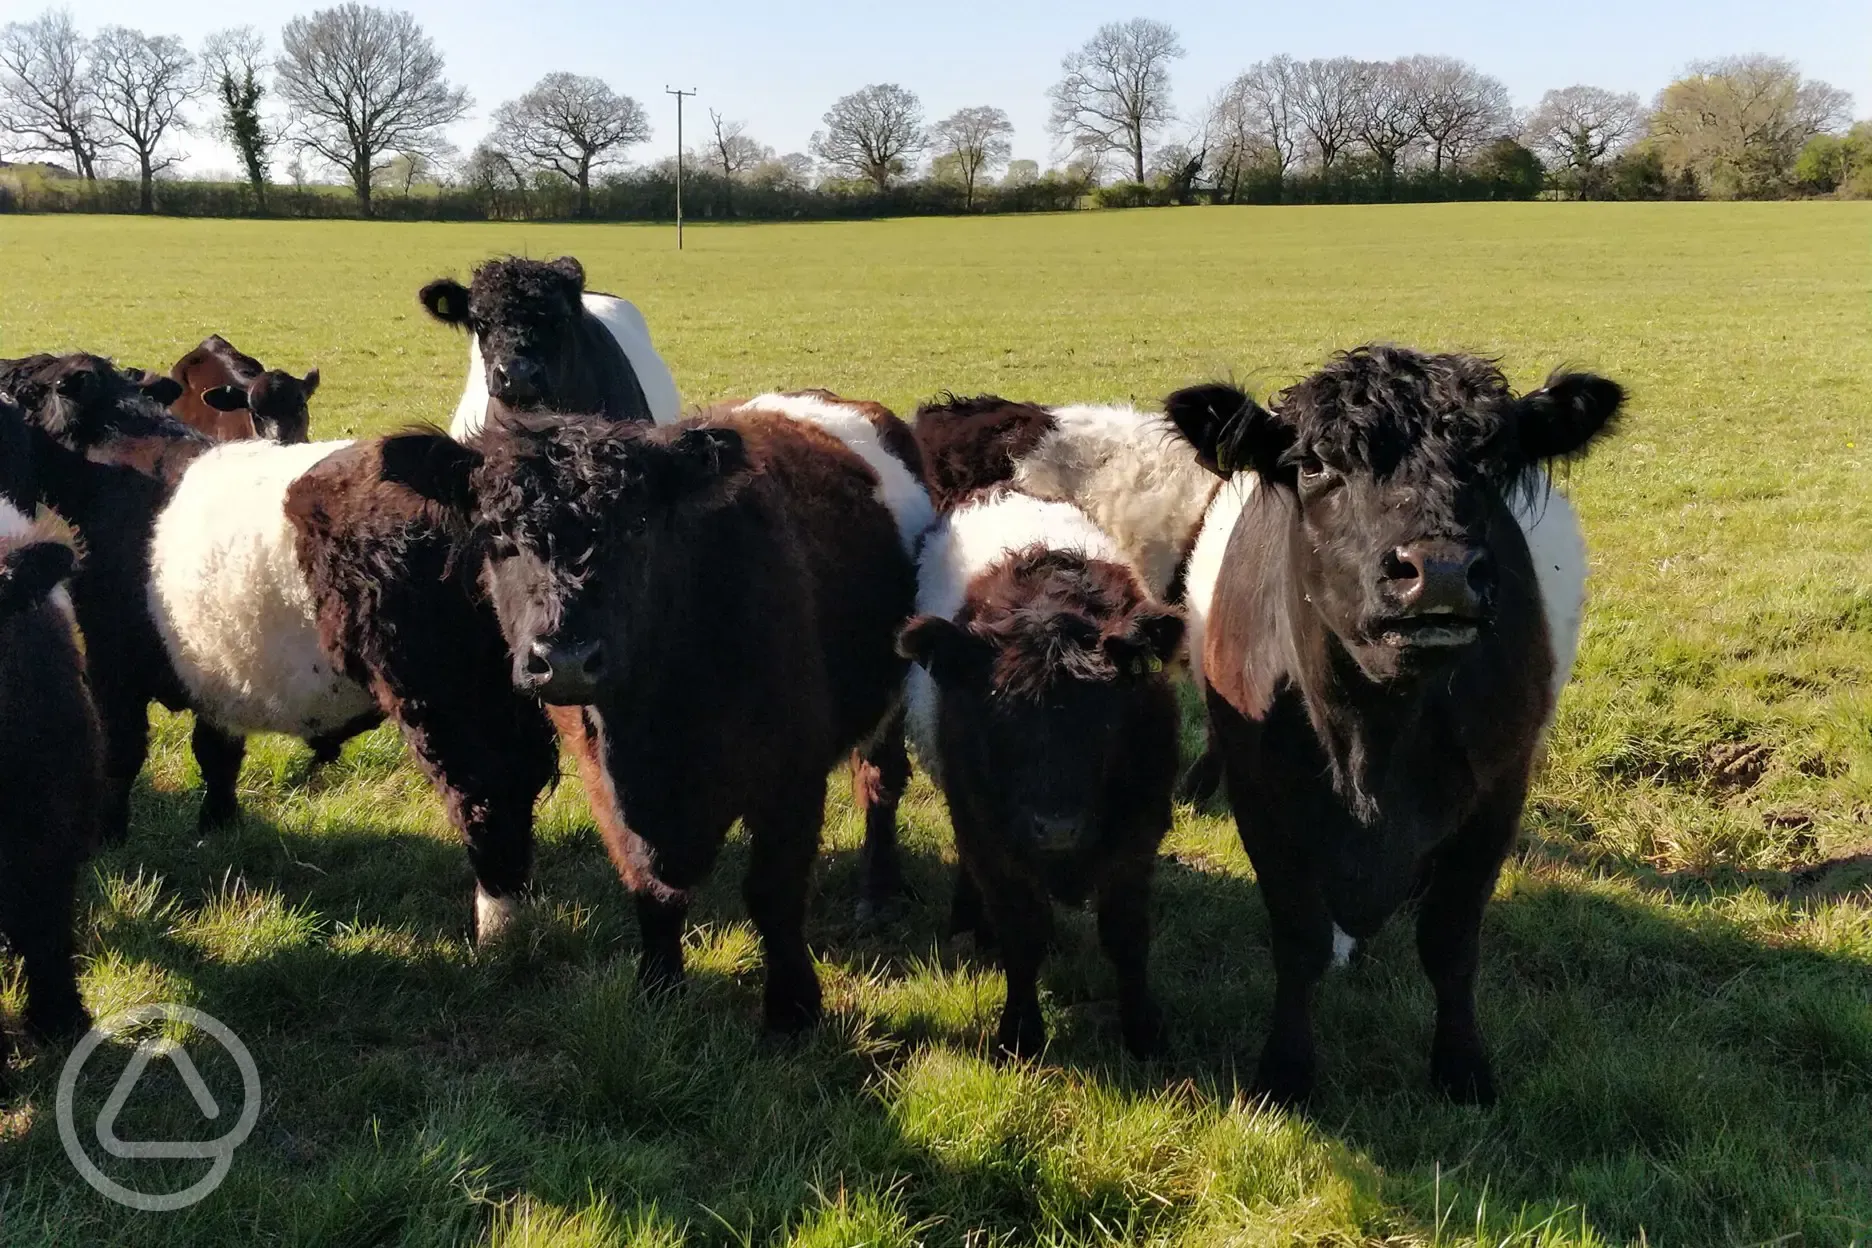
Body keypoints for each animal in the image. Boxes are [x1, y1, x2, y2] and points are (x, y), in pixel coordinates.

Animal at [894, 493, 1183, 1062]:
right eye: (998, 715)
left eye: (1107, 718)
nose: (1057, 827)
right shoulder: (991, 837)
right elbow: (1021, 934)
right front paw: (1020, 1035)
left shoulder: (1138, 834)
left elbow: (1126, 936)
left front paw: (1143, 1030)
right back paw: (968, 922)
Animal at [1168, 342, 1624, 1100]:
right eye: (1315, 464)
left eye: (1493, 461)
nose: (1438, 572)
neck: (1370, 742)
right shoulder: (1263, 803)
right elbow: (1298, 939)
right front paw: (1286, 1072)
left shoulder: (1496, 797)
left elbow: (1450, 943)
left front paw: (1462, 1069)